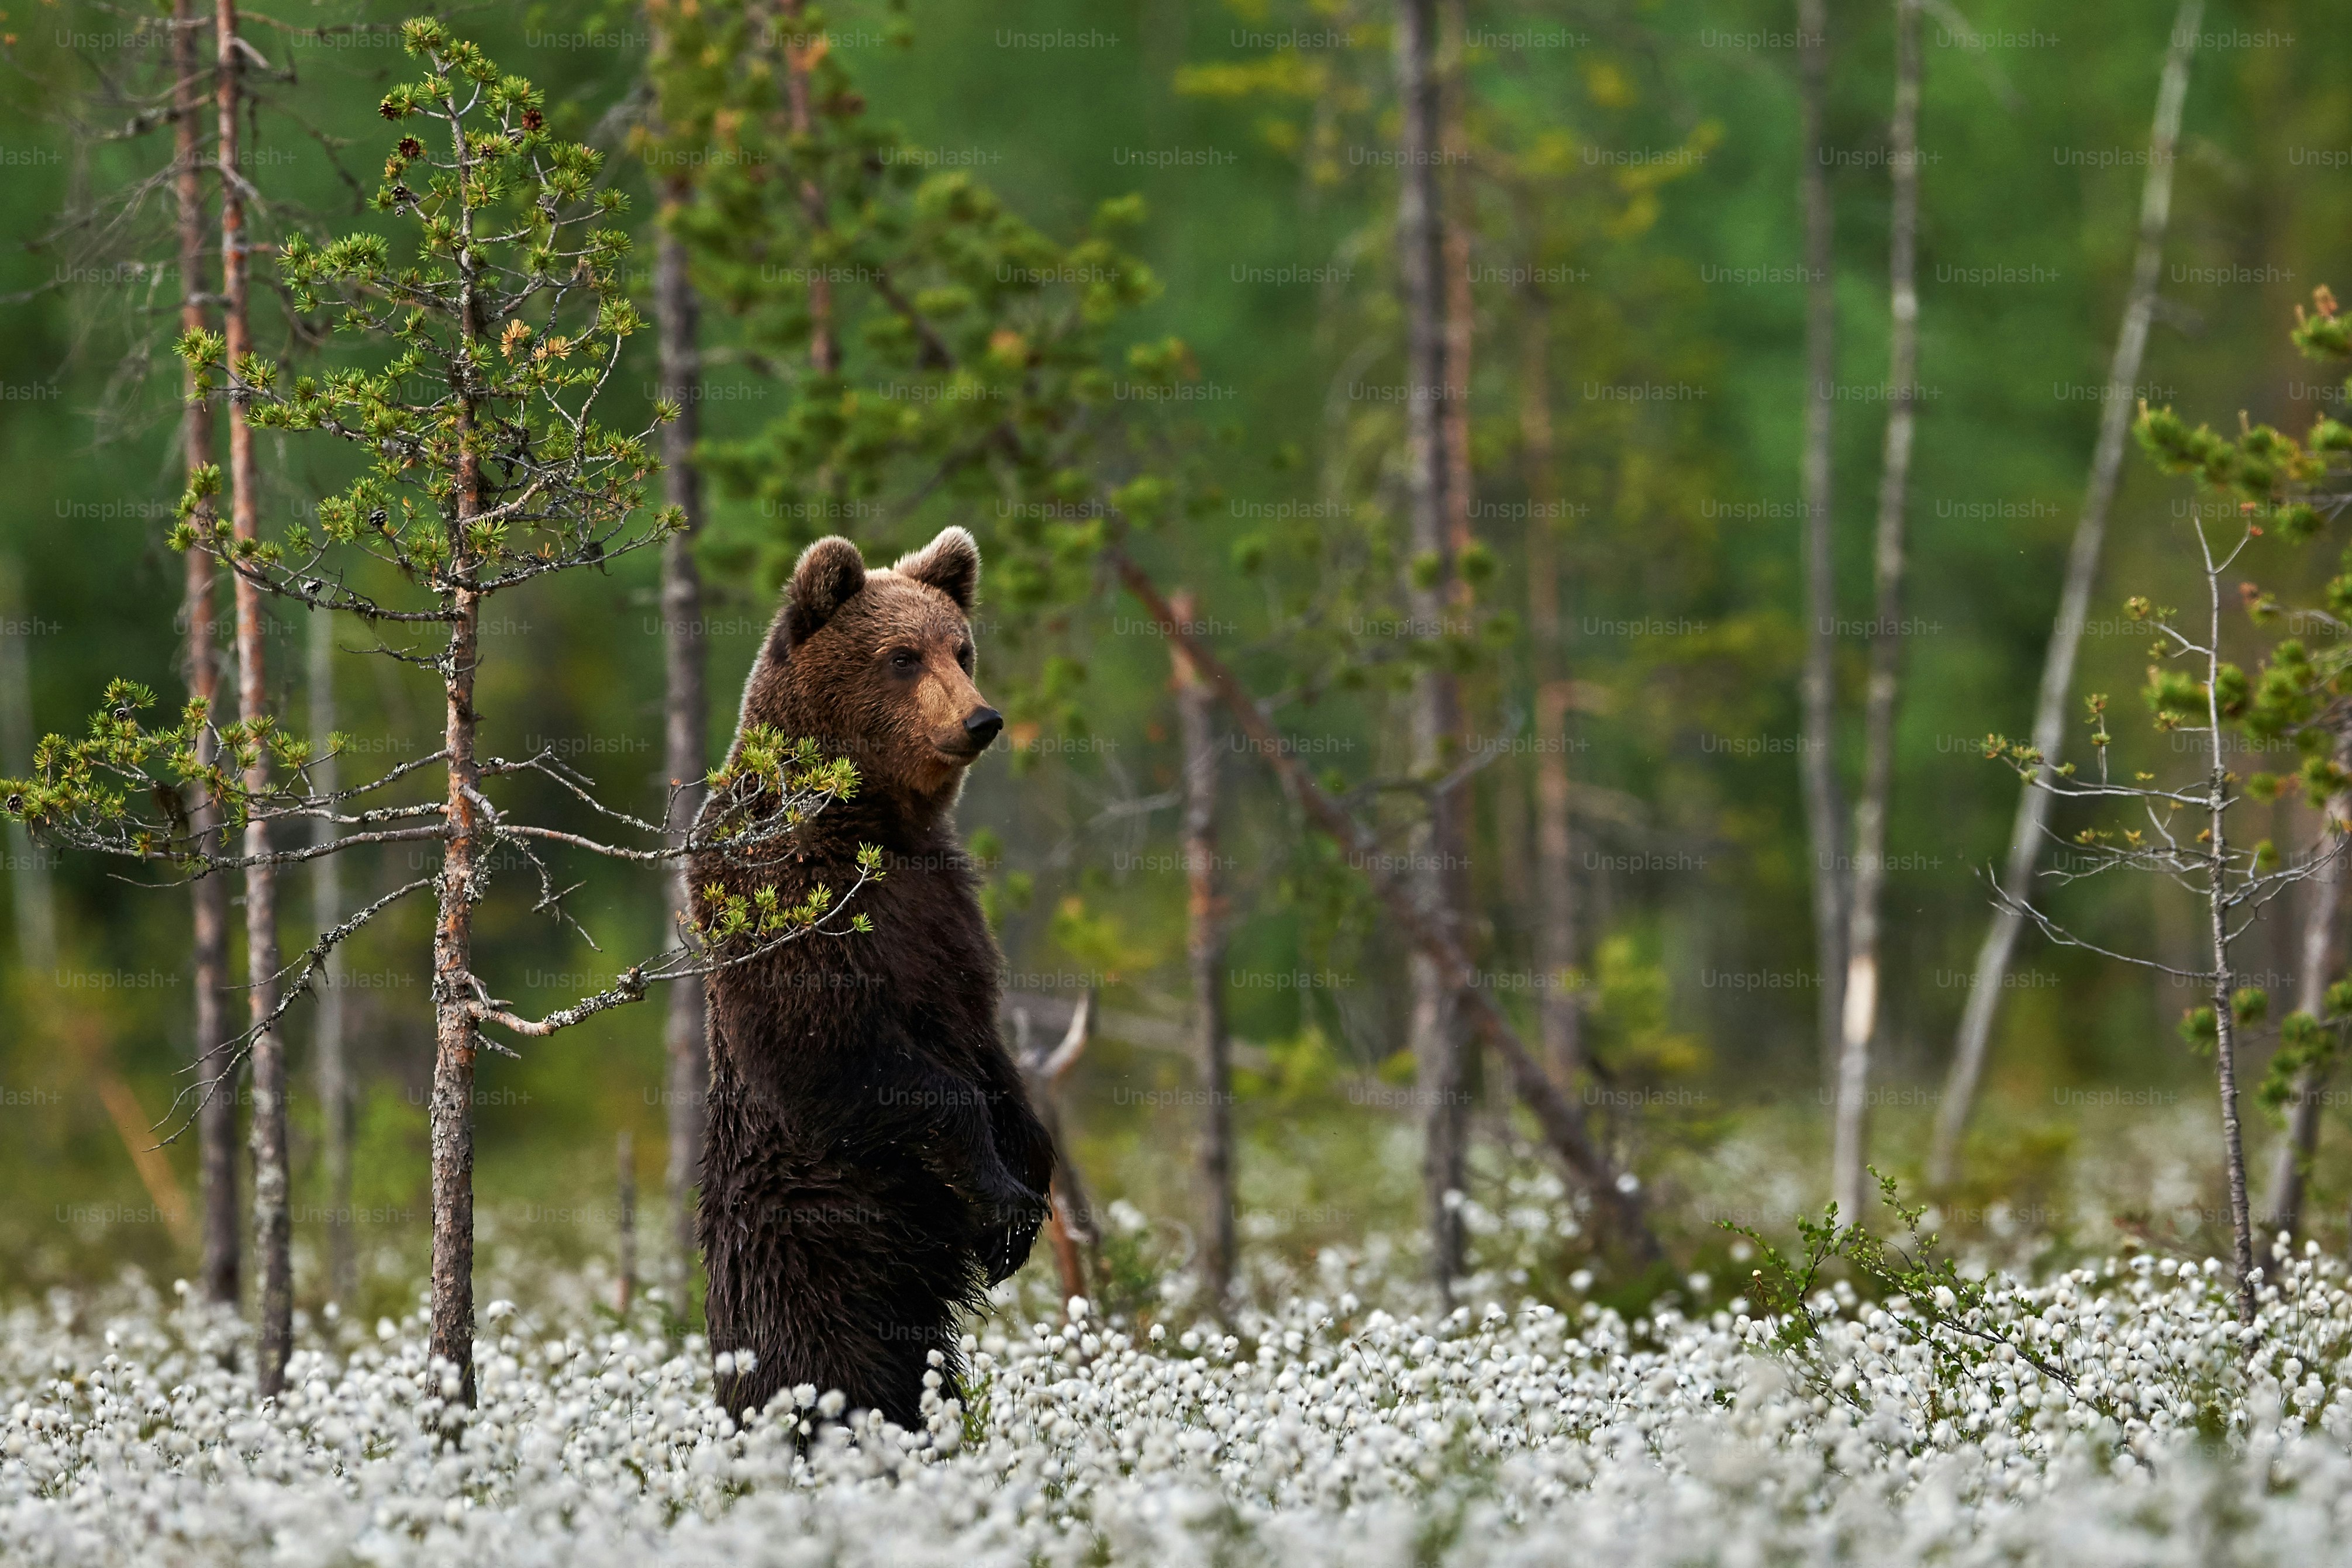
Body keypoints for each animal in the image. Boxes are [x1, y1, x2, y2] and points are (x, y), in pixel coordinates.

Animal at [693, 525, 1056, 1432]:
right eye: (900, 656)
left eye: (960, 647)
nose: (980, 717)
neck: (868, 821)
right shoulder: (792, 903)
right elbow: (840, 1052)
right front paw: (1002, 1198)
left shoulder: (944, 906)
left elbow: (984, 1037)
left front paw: (1029, 1185)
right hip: (816, 1240)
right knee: (828, 1368)